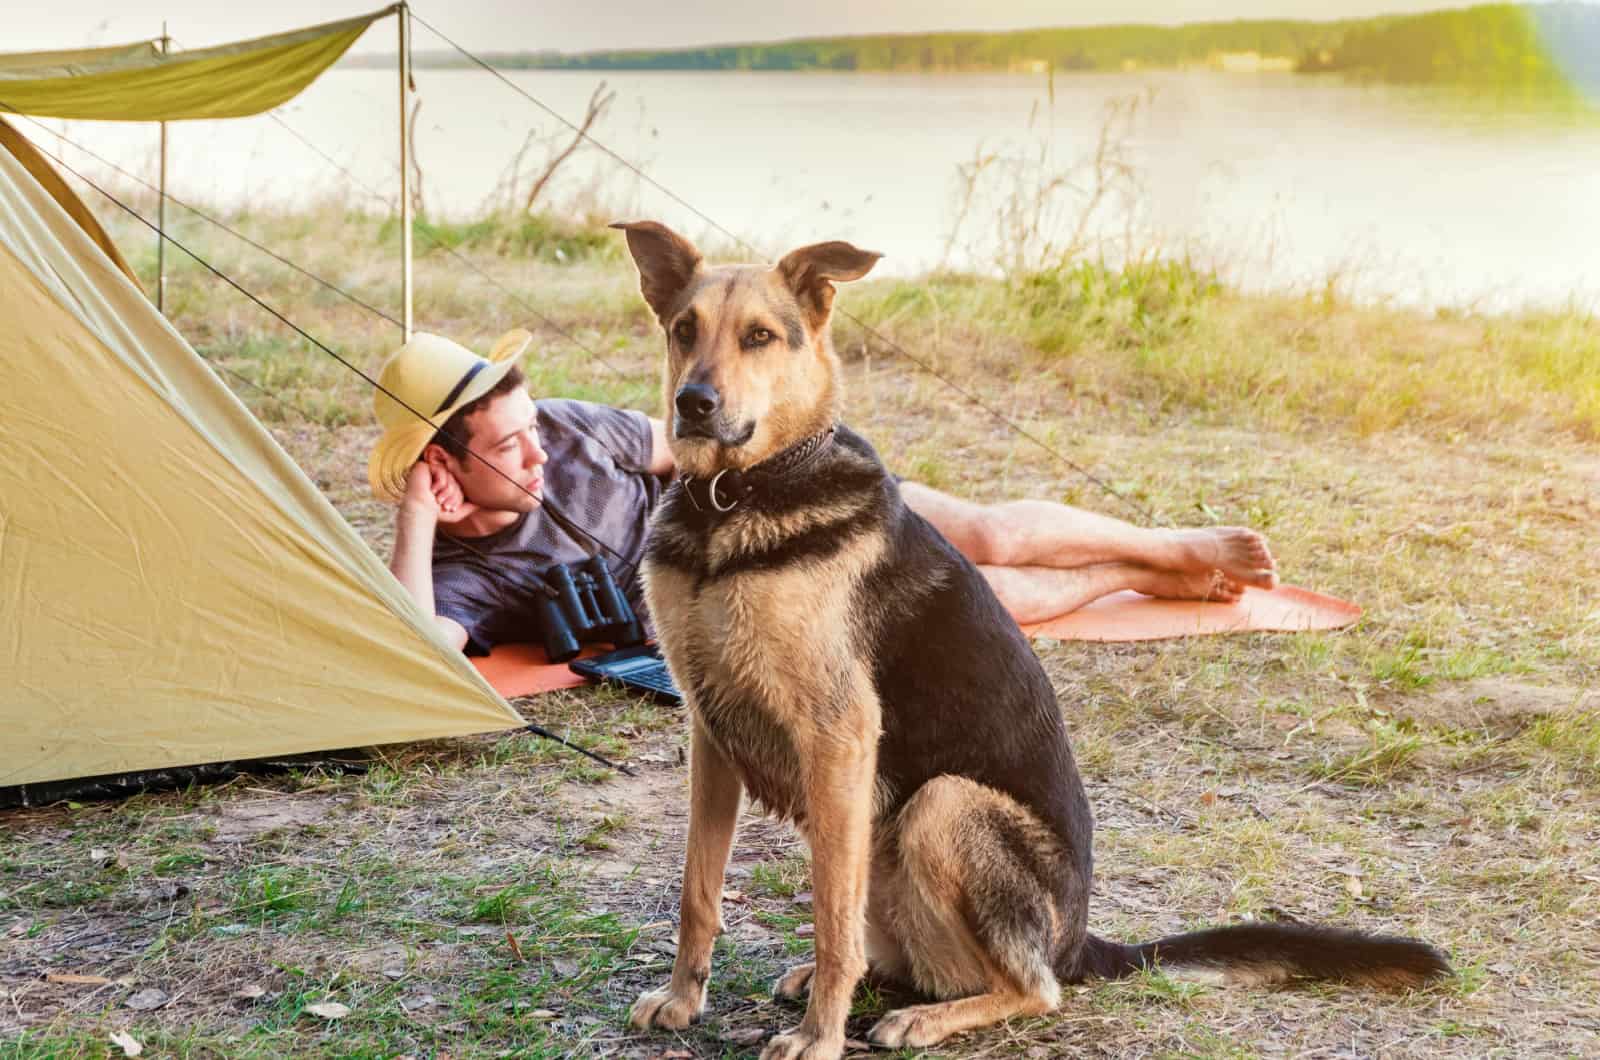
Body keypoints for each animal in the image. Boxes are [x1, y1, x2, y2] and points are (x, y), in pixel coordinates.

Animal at [614, 219, 1452, 1056]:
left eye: (760, 336)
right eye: (684, 330)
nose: (693, 404)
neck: (736, 500)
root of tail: (1079, 941)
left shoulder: (839, 736)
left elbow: (829, 915)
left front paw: (819, 1038)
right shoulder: (712, 732)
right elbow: (700, 890)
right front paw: (684, 999)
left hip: (943, 805)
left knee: (1032, 987)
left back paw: (925, 1015)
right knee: (913, 953)